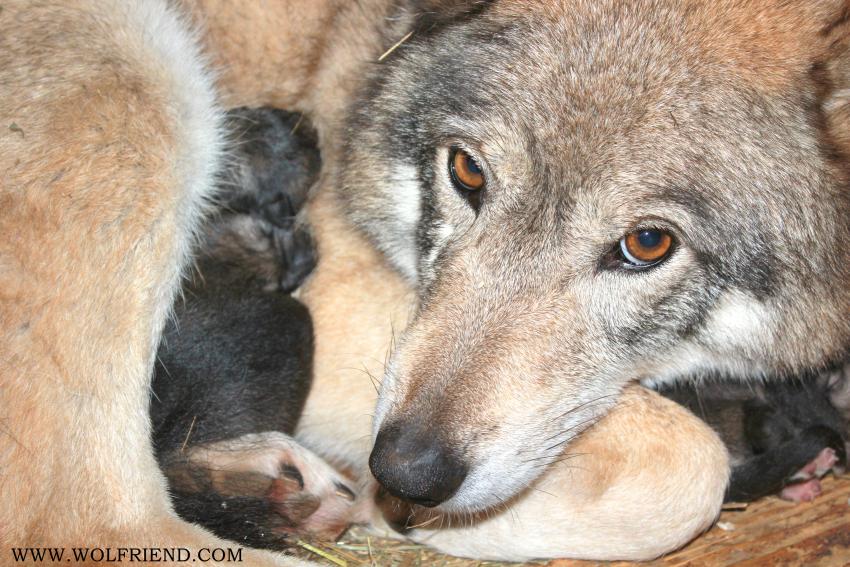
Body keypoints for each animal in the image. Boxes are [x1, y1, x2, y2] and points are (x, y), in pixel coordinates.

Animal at [0, 0, 844, 564]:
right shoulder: (331, 282)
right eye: (467, 171)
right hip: (139, 70)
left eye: (647, 243)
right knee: (85, 525)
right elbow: (692, 463)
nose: (404, 470)